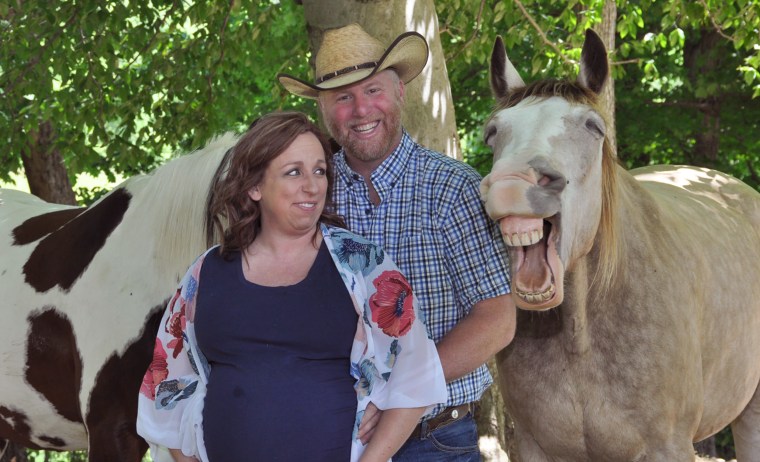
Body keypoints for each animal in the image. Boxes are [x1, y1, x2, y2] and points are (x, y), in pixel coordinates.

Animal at [484, 29, 760, 462]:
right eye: (494, 130)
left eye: (593, 127)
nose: (512, 183)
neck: (580, 337)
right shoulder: (533, 446)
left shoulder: (668, 446)